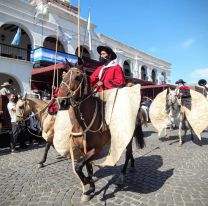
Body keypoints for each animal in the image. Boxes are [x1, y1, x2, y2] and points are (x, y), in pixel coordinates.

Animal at [57, 61, 145, 201]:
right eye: (63, 77)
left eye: (78, 77)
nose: (62, 102)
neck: (82, 123)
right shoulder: (84, 149)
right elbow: (86, 167)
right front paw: (90, 189)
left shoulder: (96, 149)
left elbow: (79, 166)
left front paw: (88, 181)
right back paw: (132, 165)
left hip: (128, 136)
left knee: (127, 153)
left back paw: (122, 176)